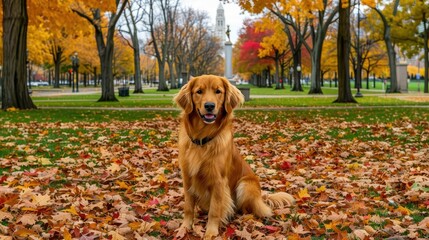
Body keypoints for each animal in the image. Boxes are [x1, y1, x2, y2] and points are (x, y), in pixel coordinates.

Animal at [174, 75, 294, 238]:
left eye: (218, 91)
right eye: (199, 91)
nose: (210, 106)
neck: (203, 138)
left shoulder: (219, 182)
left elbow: (214, 210)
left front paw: (211, 232)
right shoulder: (187, 178)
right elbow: (188, 207)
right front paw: (184, 228)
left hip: (245, 185)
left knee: (246, 209)